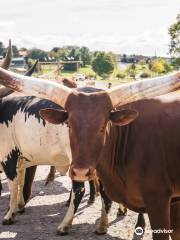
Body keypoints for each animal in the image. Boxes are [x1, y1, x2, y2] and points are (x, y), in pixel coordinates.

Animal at [0, 66, 180, 239]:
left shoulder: (8, 155)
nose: (80, 171)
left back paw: (72, 225)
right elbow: (21, 181)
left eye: (103, 126)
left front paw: (10, 214)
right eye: (69, 125)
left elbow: (14, 184)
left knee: (82, 191)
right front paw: (20, 205)